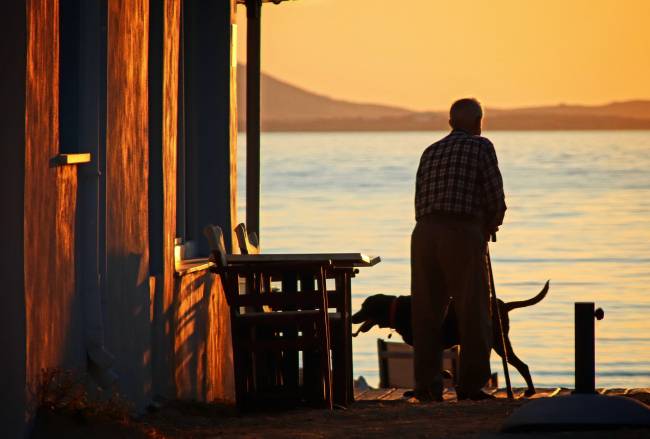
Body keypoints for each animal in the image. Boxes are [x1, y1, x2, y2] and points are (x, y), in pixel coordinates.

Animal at [352, 282, 548, 398]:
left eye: (364, 307)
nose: (352, 317)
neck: (397, 310)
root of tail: (504, 305)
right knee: (521, 365)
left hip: (499, 342)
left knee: (522, 365)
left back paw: (530, 390)